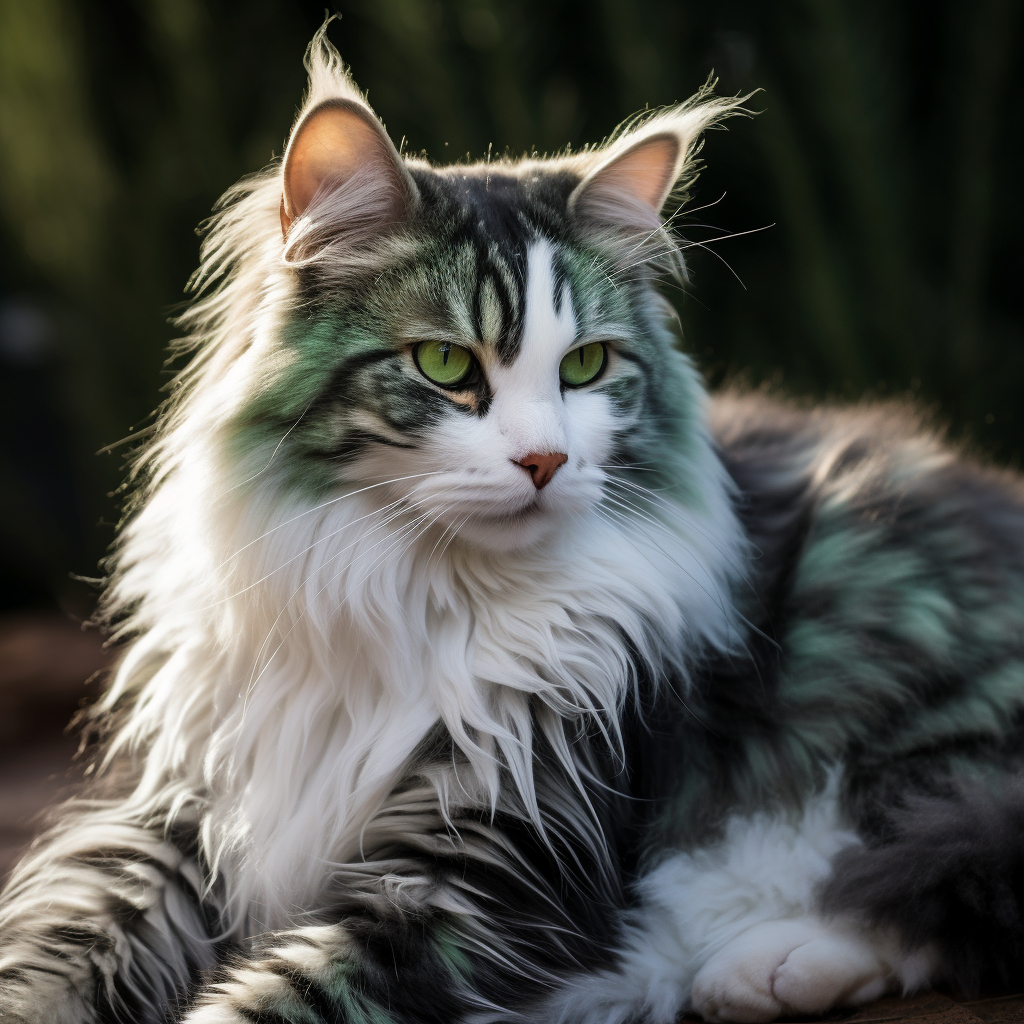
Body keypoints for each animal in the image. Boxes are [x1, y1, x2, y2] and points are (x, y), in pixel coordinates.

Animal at [2, 22, 1024, 1024]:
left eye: (585, 367)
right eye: (447, 363)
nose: (545, 462)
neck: (415, 592)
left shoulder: (485, 867)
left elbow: (272, 1001)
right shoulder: (179, 815)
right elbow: (52, 955)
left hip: (915, 723)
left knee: (924, 883)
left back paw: (759, 968)